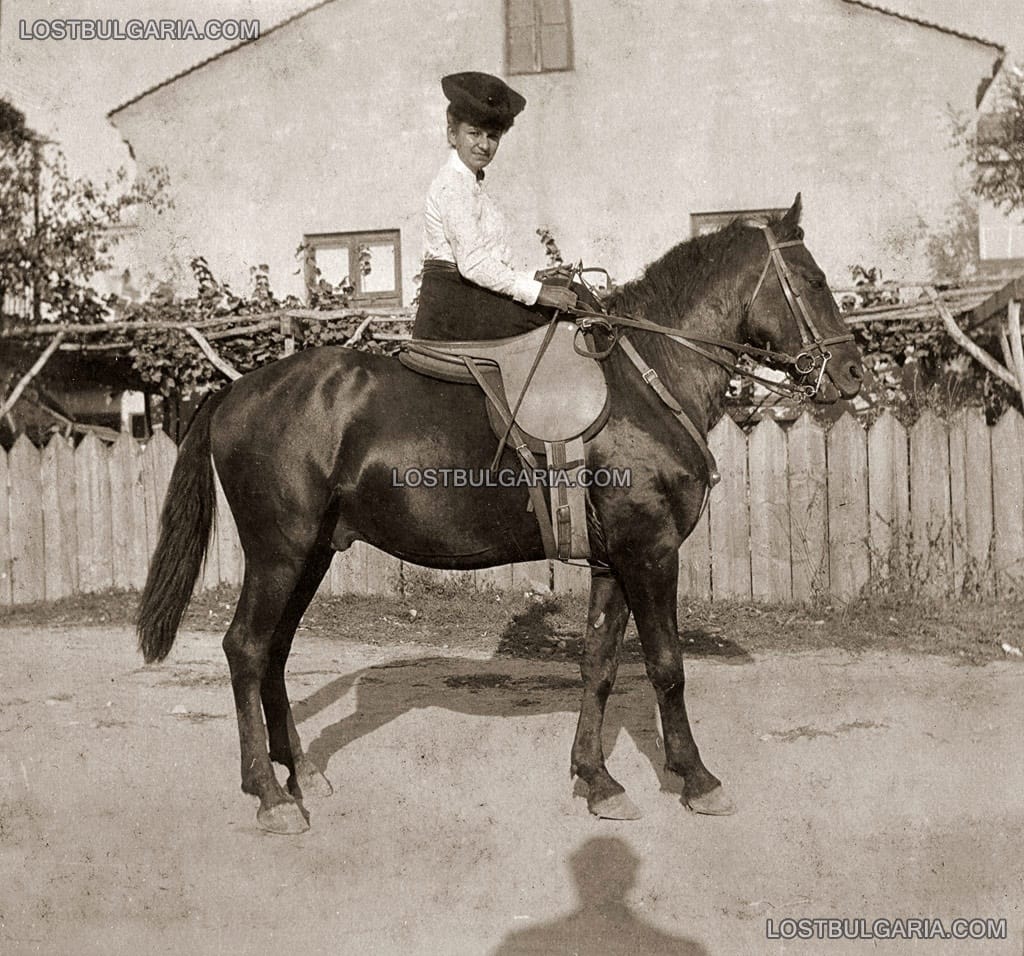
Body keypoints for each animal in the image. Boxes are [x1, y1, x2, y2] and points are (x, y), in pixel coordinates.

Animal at [134, 196, 856, 839]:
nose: (850, 371)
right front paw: (697, 779)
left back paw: (300, 773)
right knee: (247, 649)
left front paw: (597, 780)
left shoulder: (613, 561)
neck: (646, 382)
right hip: (279, 551)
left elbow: (598, 665)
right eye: (814, 281)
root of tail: (236, 389)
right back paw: (269, 794)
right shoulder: (649, 552)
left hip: (310, 552)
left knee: (276, 652)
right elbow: (666, 667)